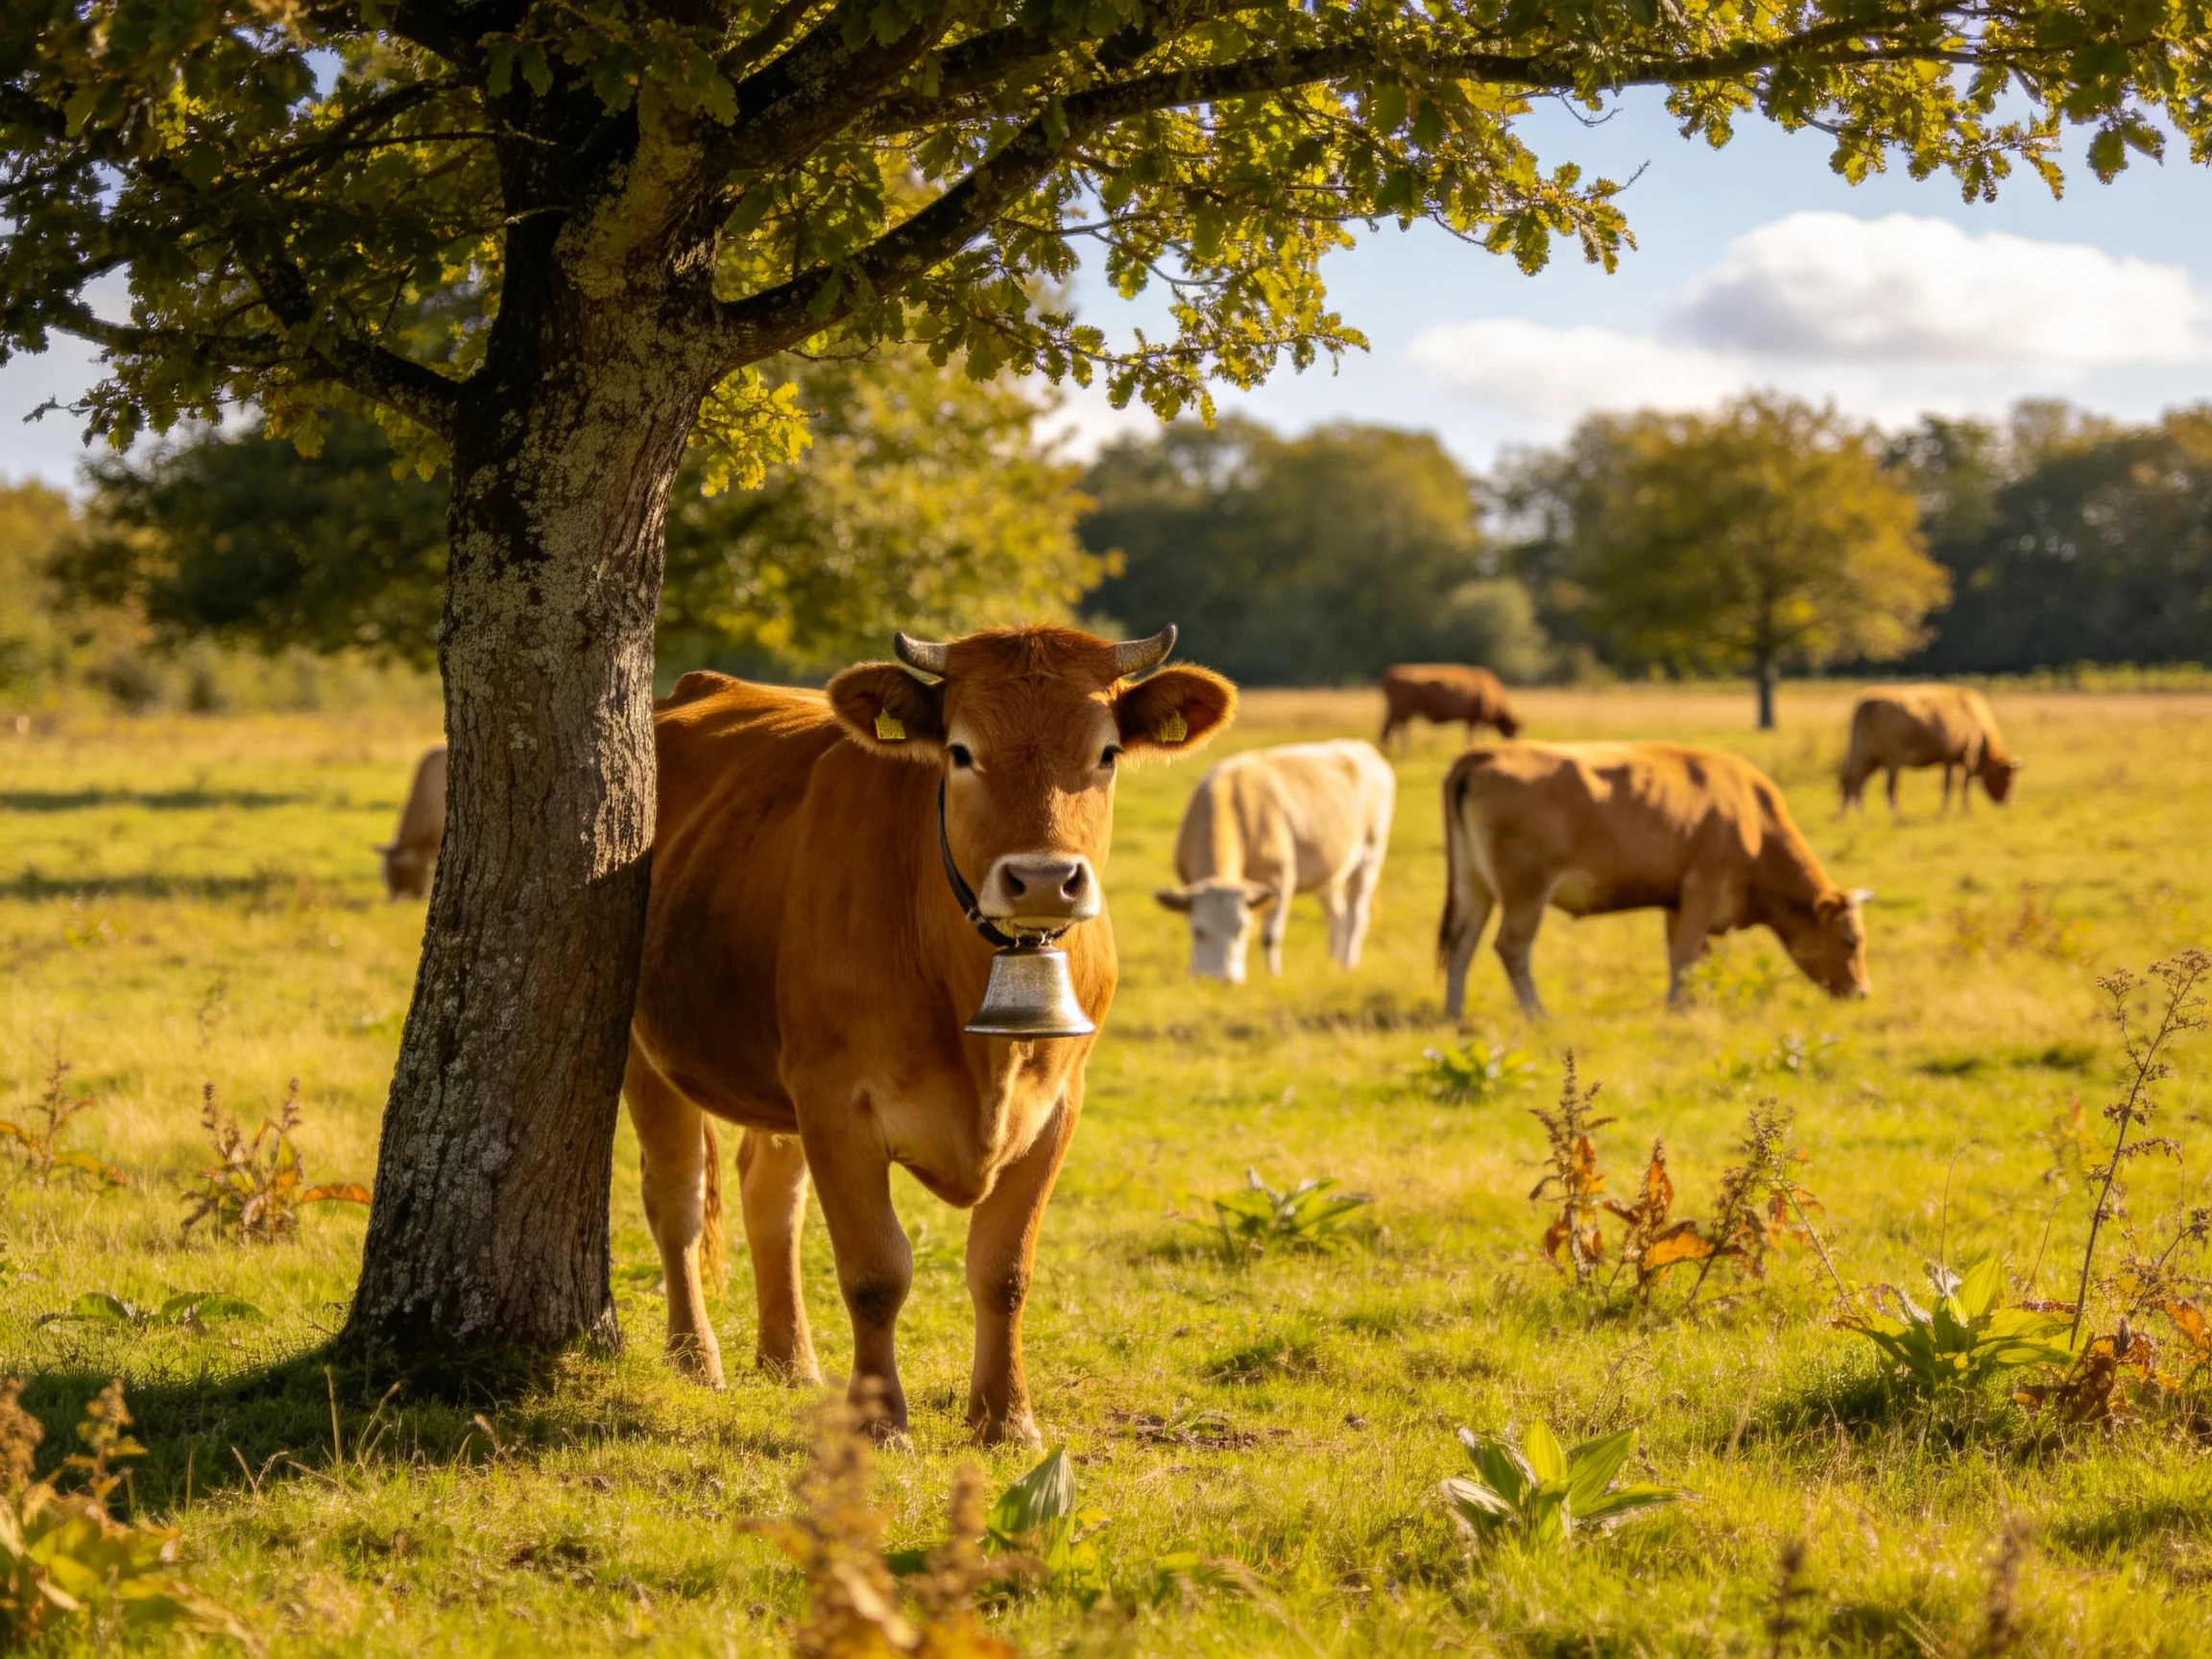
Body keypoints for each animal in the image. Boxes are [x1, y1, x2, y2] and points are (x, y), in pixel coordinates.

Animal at [626, 624, 1234, 1444]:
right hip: (645, 1050)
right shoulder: (836, 1105)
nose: (1044, 879)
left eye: (1106, 752)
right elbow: (875, 1272)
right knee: (678, 1199)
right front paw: (880, 1420)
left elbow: (1004, 1271)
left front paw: (1007, 1419)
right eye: (961, 752)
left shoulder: (1057, 1108)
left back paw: (790, 1360)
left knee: (770, 1197)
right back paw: (696, 1356)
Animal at [1155, 739, 1396, 982]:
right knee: (1337, 916)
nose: (1223, 979)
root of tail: (1362, 747)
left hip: (1370, 856)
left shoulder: (1280, 880)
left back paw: (1347, 965)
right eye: (1199, 931)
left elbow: (1270, 936)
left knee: (1356, 916)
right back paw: (1333, 963)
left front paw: (1274, 976)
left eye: (1242, 929)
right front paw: (1193, 975)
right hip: (1330, 871)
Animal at [1378, 664, 1522, 750]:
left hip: (1398, 712)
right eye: (1514, 730)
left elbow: (1470, 734)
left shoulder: (1471, 719)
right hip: (1401, 711)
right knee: (1396, 728)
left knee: (1393, 728)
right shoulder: (1478, 718)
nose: (1515, 743)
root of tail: (1391, 672)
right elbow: (1476, 734)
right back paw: (1403, 750)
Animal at [1439, 742, 1872, 1018]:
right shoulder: (1703, 887)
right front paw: (1678, 1006)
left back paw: (1454, 1012)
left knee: (1461, 941)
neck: (1753, 817)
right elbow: (1685, 952)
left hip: (1473, 886)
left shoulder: (1677, 901)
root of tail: (1484, 754)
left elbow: (1690, 954)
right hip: (1526, 892)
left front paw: (1697, 998)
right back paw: (1536, 1012)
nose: (1863, 993)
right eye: (1850, 941)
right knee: (1511, 946)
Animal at [1840, 684, 2021, 813]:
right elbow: (1963, 784)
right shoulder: (1967, 757)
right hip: (1891, 761)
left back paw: (1854, 818)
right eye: (2008, 778)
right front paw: (1964, 810)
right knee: (1886, 788)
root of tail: (1868, 703)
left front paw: (1947, 809)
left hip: (1866, 756)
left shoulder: (1950, 760)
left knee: (1852, 781)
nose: (2007, 802)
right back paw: (1898, 817)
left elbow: (1949, 784)